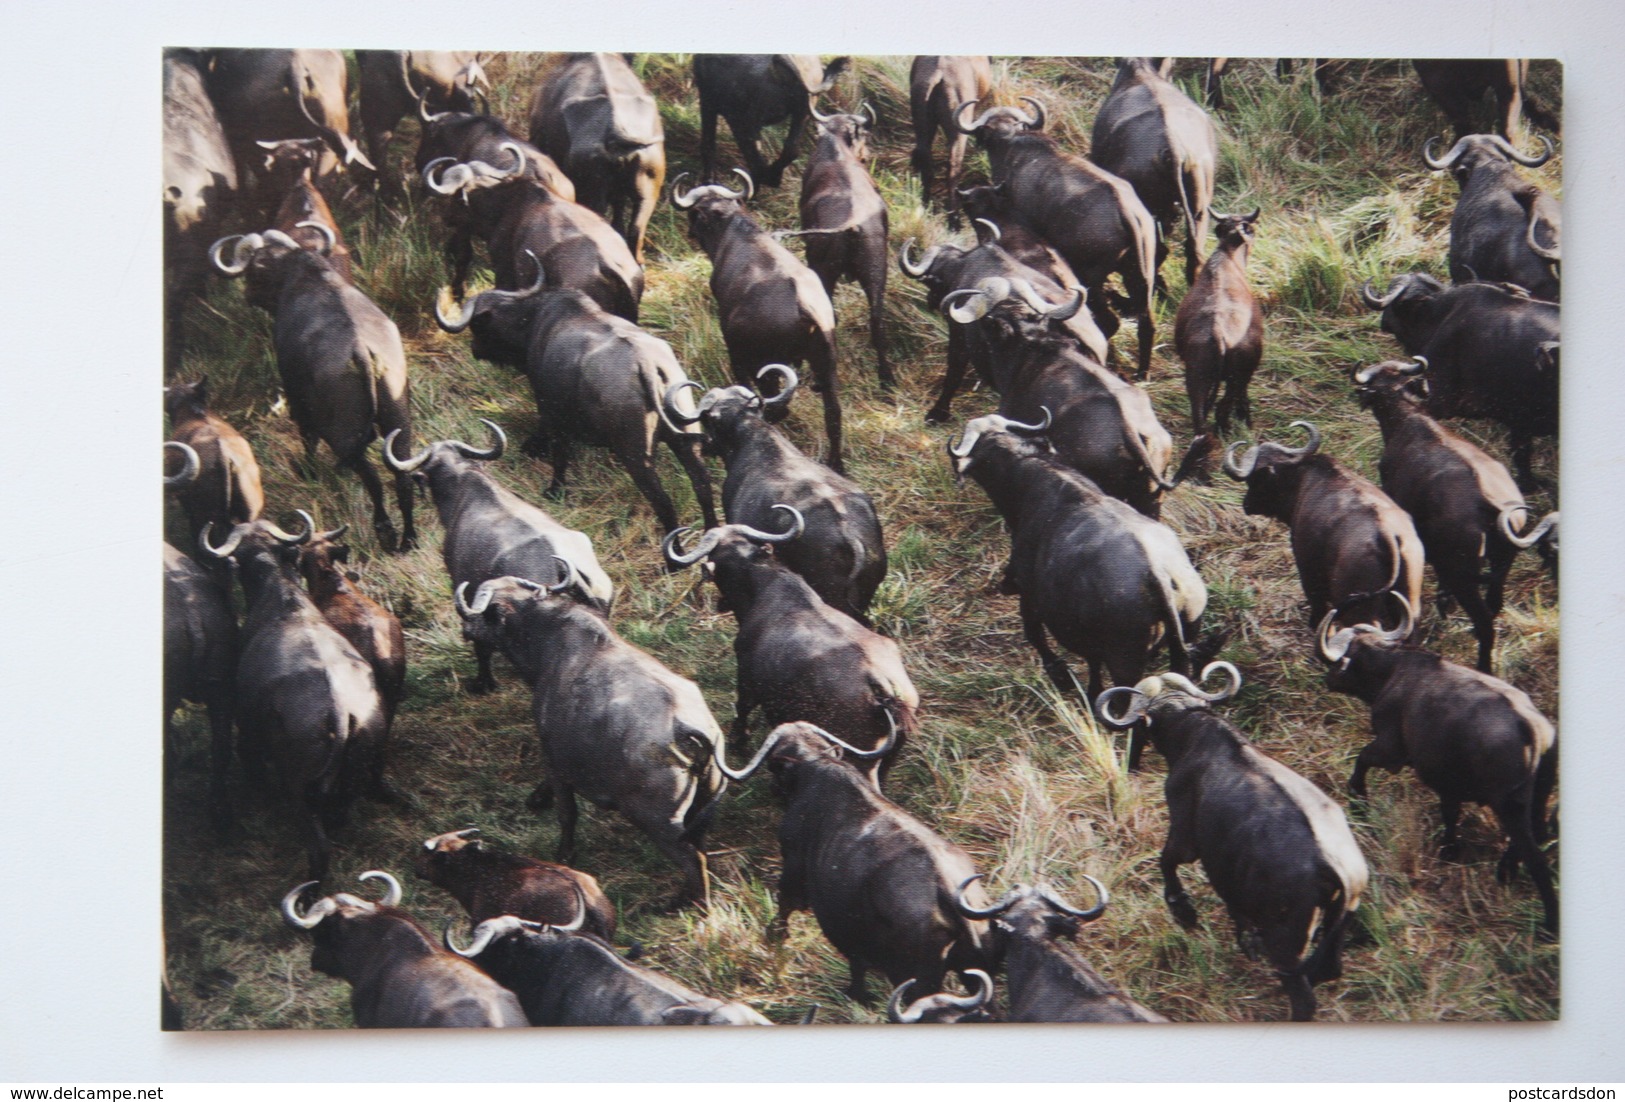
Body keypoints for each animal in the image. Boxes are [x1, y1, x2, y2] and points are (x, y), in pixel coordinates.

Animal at [692, 54, 851, 187]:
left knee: (755, 157)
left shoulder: (711, 104)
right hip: (801, 112)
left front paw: (709, 182)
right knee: (789, 149)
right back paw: (772, 178)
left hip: (747, 117)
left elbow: (709, 145)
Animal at [1092, 659, 1371, 1020]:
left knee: (1303, 998)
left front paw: (1184, 912)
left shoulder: (1186, 837)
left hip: (1286, 938)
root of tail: (1335, 866)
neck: (1198, 735)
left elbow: (1167, 860)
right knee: (1327, 969)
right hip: (1342, 918)